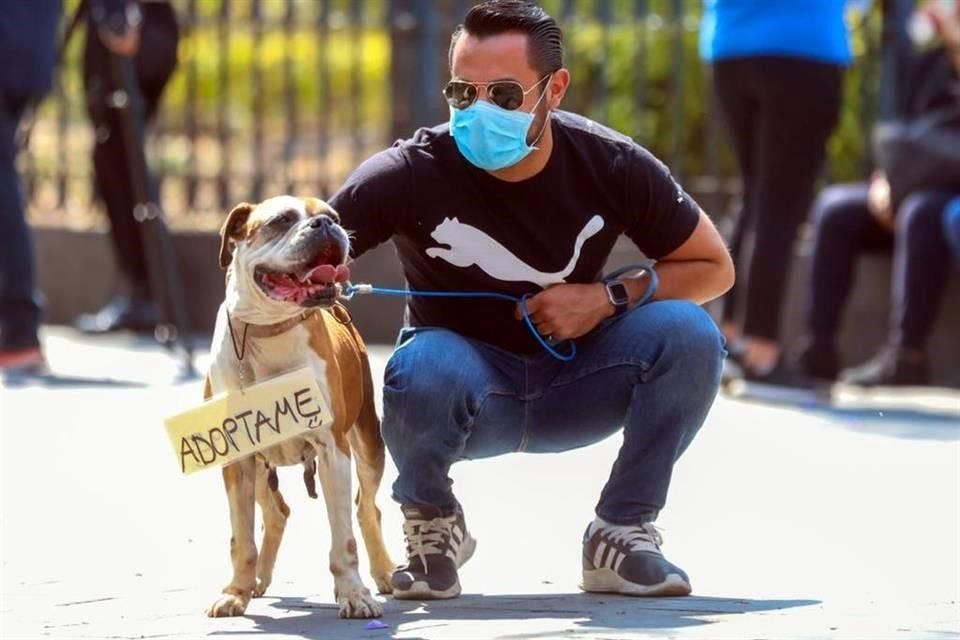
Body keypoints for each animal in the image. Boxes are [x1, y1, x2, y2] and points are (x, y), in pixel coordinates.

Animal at [204, 196, 396, 620]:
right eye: (281, 220)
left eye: (335, 217)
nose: (325, 225)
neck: (269, 330)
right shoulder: (238, 459)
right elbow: (241, 536)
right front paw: (235, 592)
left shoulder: (333, 451)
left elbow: (344, 539)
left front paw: (353, 594)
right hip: (261, 466)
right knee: (276, 512)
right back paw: (257, 579)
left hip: (368, 444)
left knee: (367, 509)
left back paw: (386, 573)